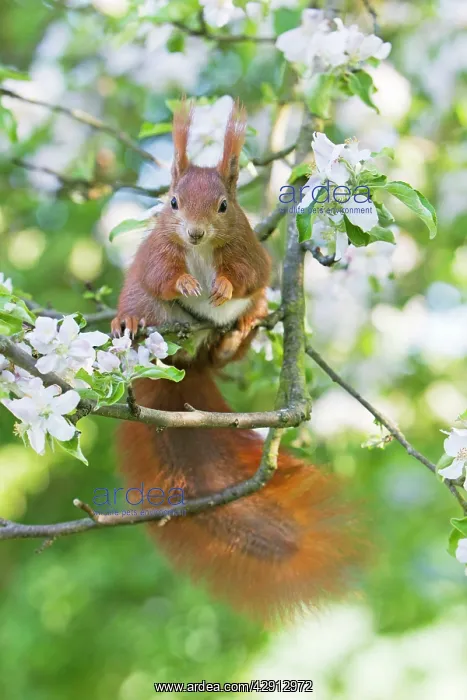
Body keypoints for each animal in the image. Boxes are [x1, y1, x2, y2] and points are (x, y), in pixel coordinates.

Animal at [113, 101, 359, 622]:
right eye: (172, 202)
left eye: (224, 205)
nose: (195, 232)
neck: (203, 251)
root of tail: (185, 364)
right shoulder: (159, 252)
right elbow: (163, 273)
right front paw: (187, 283)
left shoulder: (248, 251)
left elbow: (247, 274)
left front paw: (222, 287)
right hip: (145, 303)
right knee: (144, 303)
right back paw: (128, 321)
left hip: (251, 310)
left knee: (242, 321)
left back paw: (237, 336)